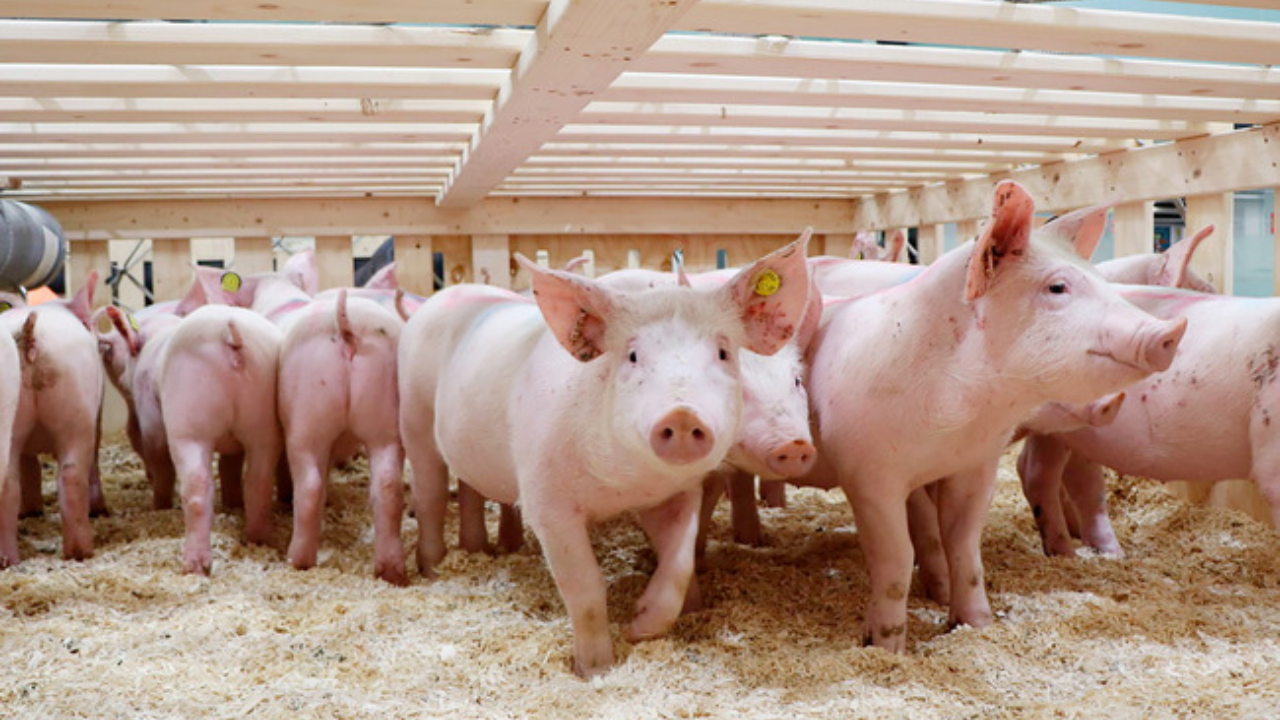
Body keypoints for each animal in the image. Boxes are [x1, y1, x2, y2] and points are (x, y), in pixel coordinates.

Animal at [0, 274, 106, 565]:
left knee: (10, 483)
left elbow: (29, 467)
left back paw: (9, 559)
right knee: (72, 474)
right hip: (77, 412)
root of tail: (30, 334)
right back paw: (81, 551)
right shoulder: (97, 414)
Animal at [399, 236, 812, 677]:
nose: (682, 415)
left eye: (722, 352)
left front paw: (642, 628)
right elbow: (584, 587)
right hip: (413, 417)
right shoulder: (548, 502)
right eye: (632, 356)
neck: (620, 485)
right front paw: (595, 670)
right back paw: (430, 568)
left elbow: (678, 565)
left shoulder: (679, 493)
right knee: (428, 492)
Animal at [797, 180, 1187, 652]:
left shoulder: (975, 465)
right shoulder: (867, 473)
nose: (1171, 332)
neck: (953, 419)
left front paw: (977, 626)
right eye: (1057, 287)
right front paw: (885, 650)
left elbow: (964, 545)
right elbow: (895, 557)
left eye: (1102, 281)